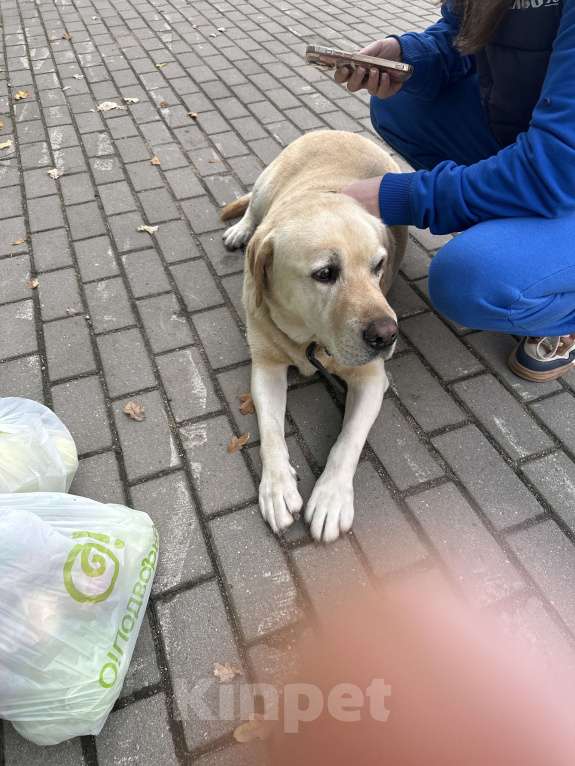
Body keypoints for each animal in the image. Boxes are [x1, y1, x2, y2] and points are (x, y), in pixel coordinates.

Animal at [219, 129, 404, 544]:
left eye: (379, 266)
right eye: (325, 273)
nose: (387, 335)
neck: (308, 339)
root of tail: (339, 131)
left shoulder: (373, 379)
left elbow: (348, 441)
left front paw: (331, 496)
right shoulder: (266, 367)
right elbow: (271, 431)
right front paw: (276, 487)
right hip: (266, 185)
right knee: (251, 207)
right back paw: (241, 229)